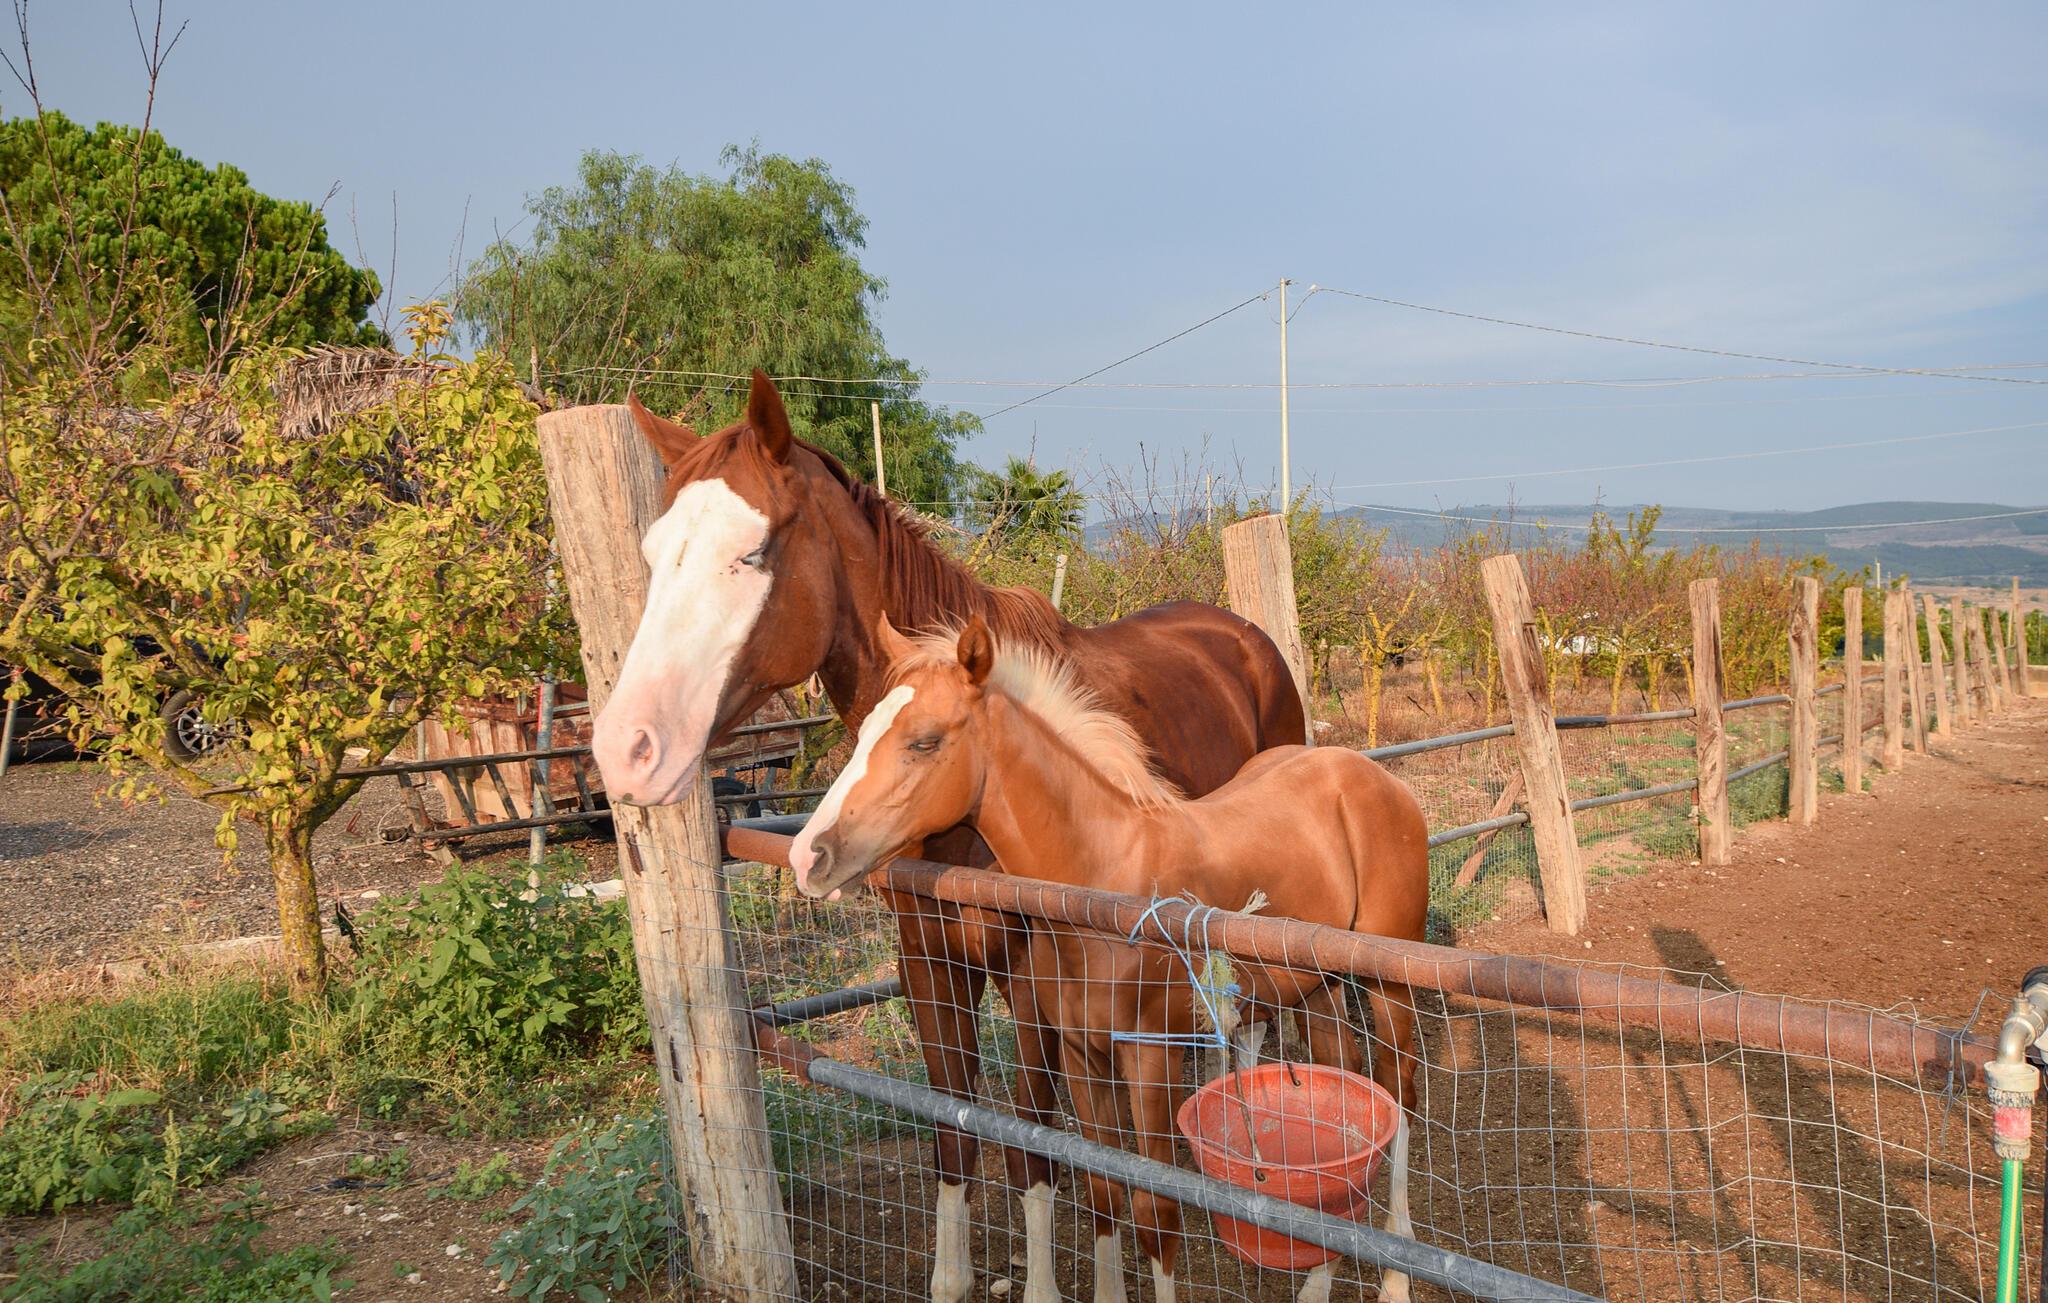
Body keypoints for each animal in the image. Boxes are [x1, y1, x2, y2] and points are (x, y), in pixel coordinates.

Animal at [586, 372, 1306, 1303]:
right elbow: (955, 1128)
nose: (626, 749)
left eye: (753, 552)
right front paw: (955, 1274)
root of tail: (1243, 636)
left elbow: (1036, 1133)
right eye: (651, 555)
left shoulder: (1032, 979)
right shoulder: (929, 964)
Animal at [789, 616, 1431, 1303]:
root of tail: (1370, 775)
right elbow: (1103, 1190)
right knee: (1345, 1107)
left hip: (1389, 981)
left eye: (924, 741)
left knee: (1399, 1092)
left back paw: (1397, 1276)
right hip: (1314, 986)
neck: (1103, 884)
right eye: (862, 733)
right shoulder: (1081, 1058)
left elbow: (1156, 1214)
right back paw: (1317, 1282)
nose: (808, 856)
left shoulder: (1149, 1059)